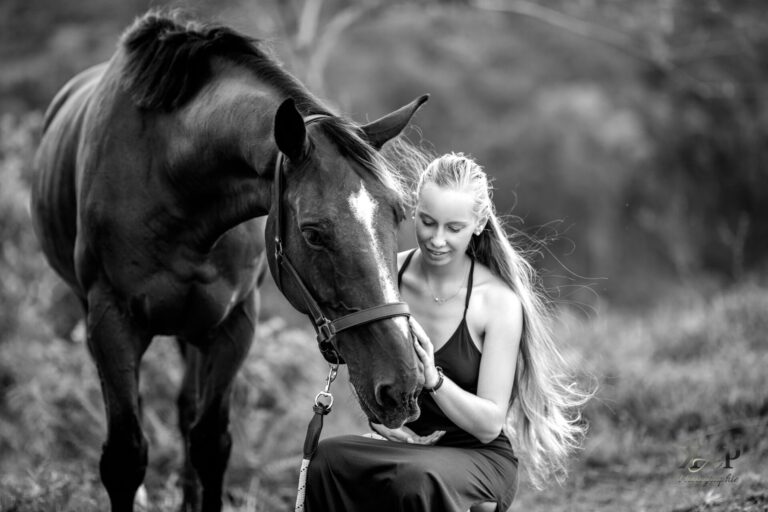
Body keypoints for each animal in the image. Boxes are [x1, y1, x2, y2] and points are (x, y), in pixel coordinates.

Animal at [31, 12, 426, 512]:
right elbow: (124, 456)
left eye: (398, 215)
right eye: (313, 233)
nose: (403, 387)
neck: (172, 175)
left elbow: (210, 443)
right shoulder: (110, 320)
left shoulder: (235, 324)